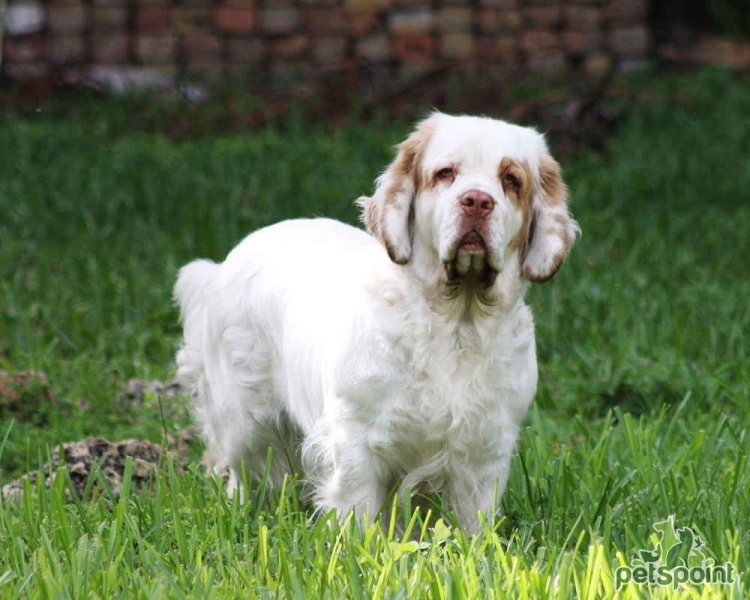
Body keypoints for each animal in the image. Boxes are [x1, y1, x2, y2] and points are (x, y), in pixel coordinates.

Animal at [176, 110, 580, 532]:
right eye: (446, 173)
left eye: (511, 180)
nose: (477, 202)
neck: (455, 323)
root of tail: (225, 263)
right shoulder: (357, 443)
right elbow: (358, 519)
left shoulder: (485, 453)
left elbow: (475, 527)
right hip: (245, 420)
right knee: (243, 476)